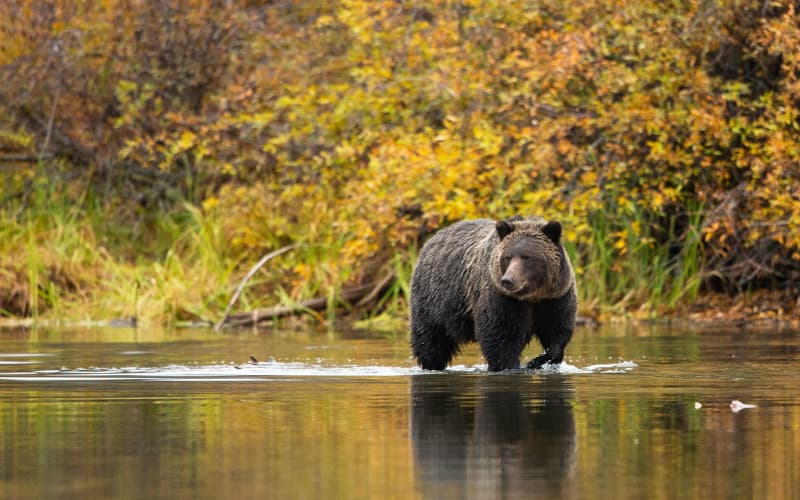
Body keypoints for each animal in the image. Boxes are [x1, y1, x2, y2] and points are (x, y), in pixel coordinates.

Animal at [409, 216, 577, 372]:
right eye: (508, 257)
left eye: (527, 257)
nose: (508, 280)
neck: (532, 296)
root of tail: (432, 240)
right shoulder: (502, 298)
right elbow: (499, 334)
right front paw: (510, 365)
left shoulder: (554, 298)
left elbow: (557, 331)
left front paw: (536, 361)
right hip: (434, 300)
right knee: (431, 341)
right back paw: (431, 364)